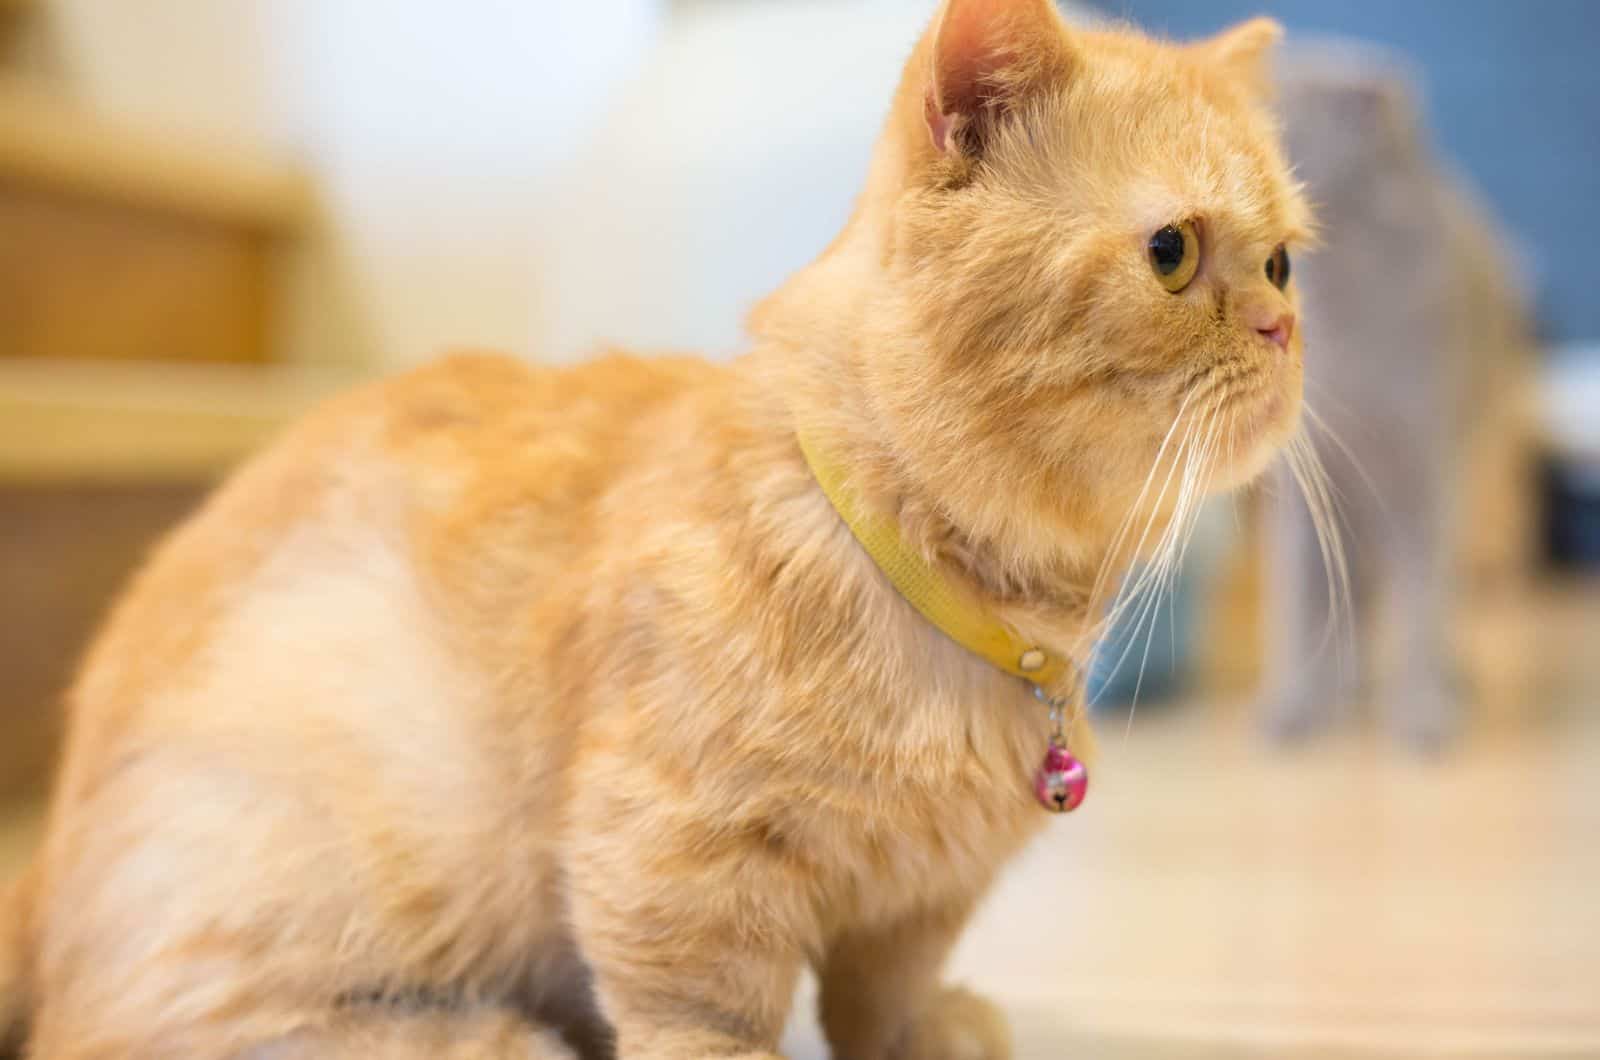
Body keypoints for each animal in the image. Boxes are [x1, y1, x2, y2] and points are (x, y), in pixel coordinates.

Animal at [0, 4, 1305, 1056]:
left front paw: (929, 1029)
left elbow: (883, 989)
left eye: (1286, 260)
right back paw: (486, 1040)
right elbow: (704, 1011)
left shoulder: (921, 893)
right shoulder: (673, 856)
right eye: (1172, 252)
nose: (1284, 328)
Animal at [1260, 47, 1536, 746]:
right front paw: (1297, 707)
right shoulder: (1309, 494)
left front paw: (1422, 714)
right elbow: (1304, 602)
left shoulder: (1424, 475)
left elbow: (1422, 605)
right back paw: (1346, 684)